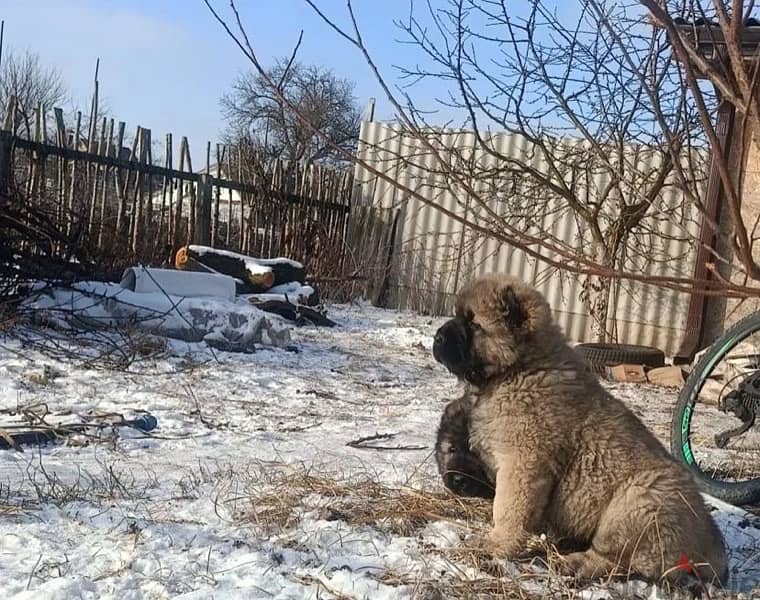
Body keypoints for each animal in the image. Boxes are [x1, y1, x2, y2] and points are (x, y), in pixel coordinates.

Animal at [434, 274, 724, 584]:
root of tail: (711, 548)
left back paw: (576, 563)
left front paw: (496, 543)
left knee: (618, 560)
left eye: (473, 323)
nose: (437, 338)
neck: (521, 368)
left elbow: (508, 507)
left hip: (637, 502)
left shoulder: (522, 462)